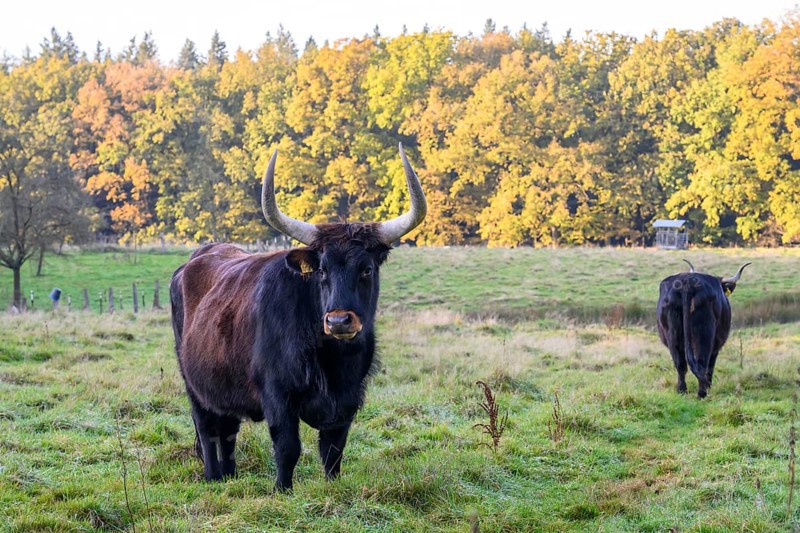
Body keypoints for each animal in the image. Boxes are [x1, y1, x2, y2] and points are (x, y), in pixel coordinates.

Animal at [170, 144, 426, 491]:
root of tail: (194, 260)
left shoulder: (348, 399)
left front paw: (333, 486)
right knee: (207, 428)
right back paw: (213, 476)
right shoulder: (277, 395)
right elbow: (288, 446)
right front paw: (282, 489)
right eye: (322, 270)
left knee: (228, 430)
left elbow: (333, 450)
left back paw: (230, 475)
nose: (339, 321)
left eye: (366, 269)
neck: (331, 360)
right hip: (193, 384)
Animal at [656, 259, 750, 398]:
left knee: (680, 364)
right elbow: (711, 364)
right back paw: (702, 393)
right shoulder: (716, 344)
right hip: (704, 334)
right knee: (702, 362)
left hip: (672, 334)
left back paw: (682, 391)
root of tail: (687, 283)